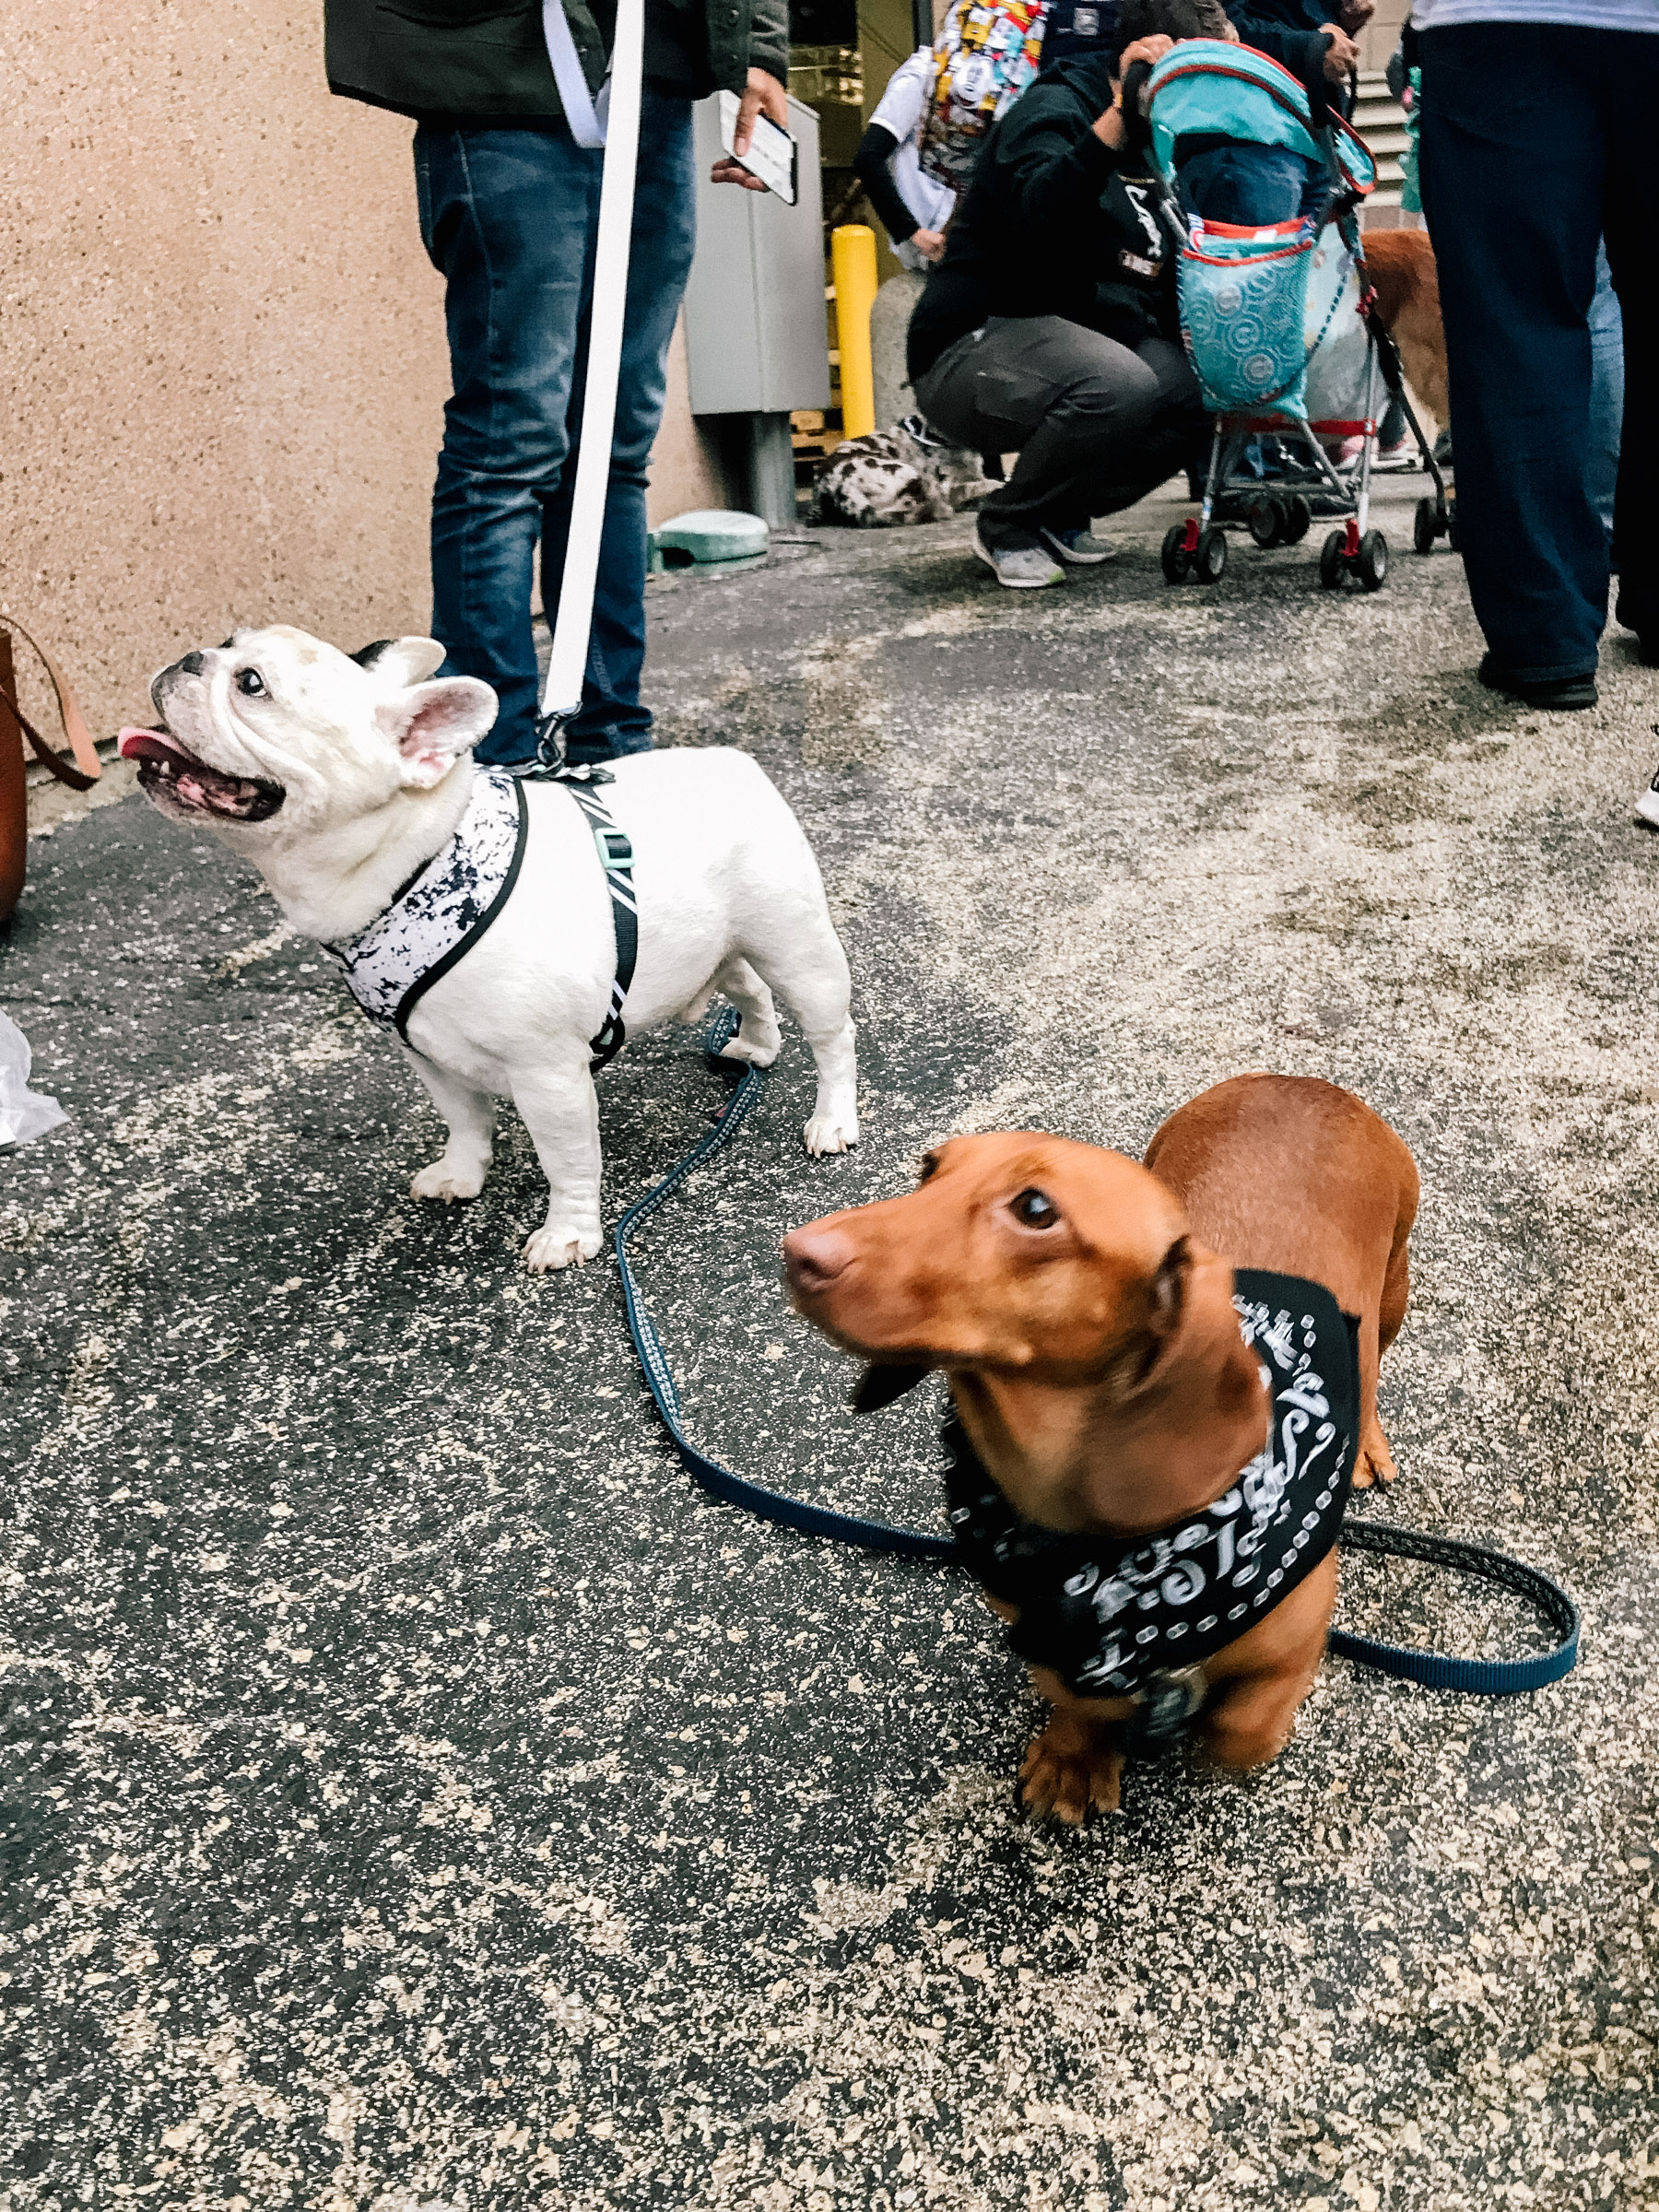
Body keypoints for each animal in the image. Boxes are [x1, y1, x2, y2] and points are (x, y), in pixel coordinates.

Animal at [123, 632, 863, 1274]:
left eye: (251, 685)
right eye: (226, 644)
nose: (191, 658)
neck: (415, 861)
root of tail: (734, 763)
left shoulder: (548, 1074)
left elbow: (567, 1158)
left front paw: (569, 1234)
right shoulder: (428, 1054)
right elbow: (463, 1120)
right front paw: (461, 1173)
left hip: (796, 947)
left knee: (830, 1034)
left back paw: (832, 1120)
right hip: (720, 941)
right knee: (748, 987)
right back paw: (756, 1046)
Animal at [787, 1070, 1424, 1814]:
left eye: (1035, 1208)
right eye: (928, 1169)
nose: (796, 1253)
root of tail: (1299, 1080)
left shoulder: (1298, 1630)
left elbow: (1247, 1724)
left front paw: (1212, 1733)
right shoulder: (1044, 1638)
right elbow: (1081, 1700)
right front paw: (1076, 1756)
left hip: (1393, 1289)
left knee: (1373, 1362)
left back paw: (1368, 1444)